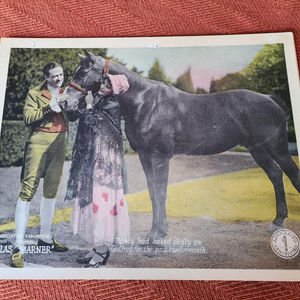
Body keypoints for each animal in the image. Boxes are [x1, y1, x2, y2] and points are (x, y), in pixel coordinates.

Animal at [63, 49, 300, 240]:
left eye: (83, 72)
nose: (66, 103)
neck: (145, 103)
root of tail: (270, 99)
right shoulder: (145, 156)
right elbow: (153, 192)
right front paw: (156, 232)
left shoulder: (160, 157)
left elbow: (160, 192)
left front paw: (157, 236)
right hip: (258, 150)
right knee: (276, 175)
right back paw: (277, 221)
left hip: (277, 149)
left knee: (291, 175)